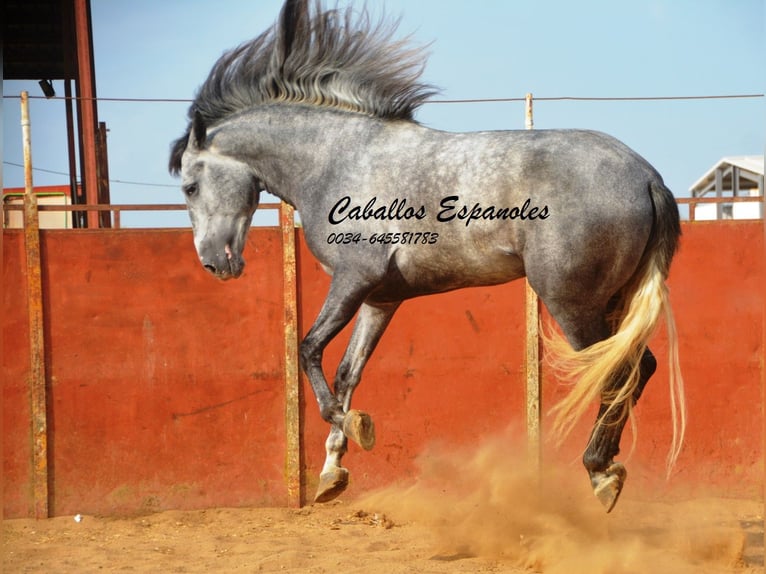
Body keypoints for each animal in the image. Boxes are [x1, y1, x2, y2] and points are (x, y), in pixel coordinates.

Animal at [169, 0, 685, 513]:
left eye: (189, 186)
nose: (216, 264)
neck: (339, 160)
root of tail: (645, 175)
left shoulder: (352, 278)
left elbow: (308, 348)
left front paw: (354, 425)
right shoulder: (379, 299)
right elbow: (347, 371)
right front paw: (333, 472)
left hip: (571, 301)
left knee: (620, 371)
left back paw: (600, 472)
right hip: (610, 300)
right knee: (641, 368)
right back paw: (607, 468)